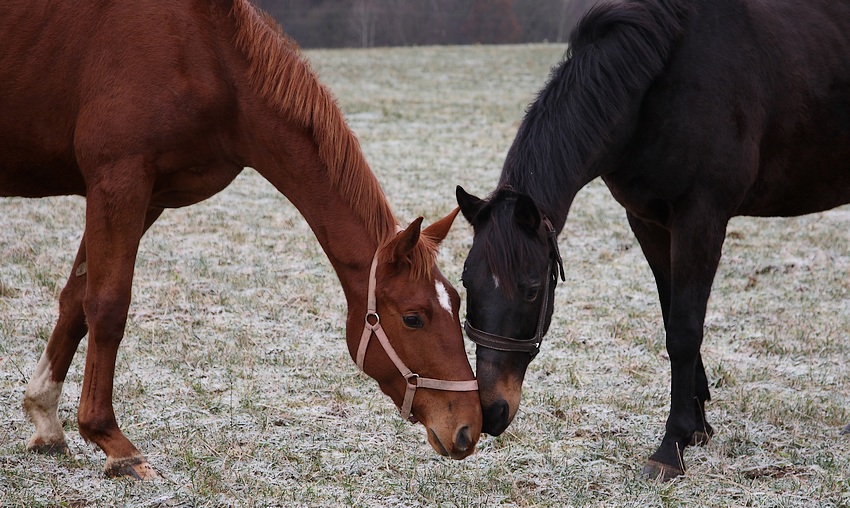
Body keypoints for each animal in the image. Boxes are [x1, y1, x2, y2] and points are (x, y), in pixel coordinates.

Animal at [0, 0, 476, 478]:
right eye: (413, 318)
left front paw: (45, 419)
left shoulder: (147, 198)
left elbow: (75, 301)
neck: (207, 58)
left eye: (456, 302)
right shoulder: (119, 180)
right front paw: (113, 442)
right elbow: (107, 306)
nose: (469, 428)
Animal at [458, 0, 848, 480]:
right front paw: (698, 426)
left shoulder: (701, 218)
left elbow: (684, 330)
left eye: (532, 290)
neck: (655, 86)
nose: (490, 412)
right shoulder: (647, 221)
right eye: (466, 283)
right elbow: (670, 316)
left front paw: (672, 445)